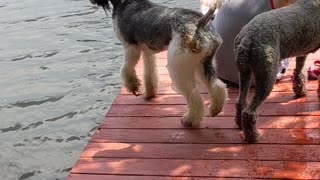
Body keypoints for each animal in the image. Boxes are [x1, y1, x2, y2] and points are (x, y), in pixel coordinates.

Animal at [90, 0, 228, 126]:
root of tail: (200, 23)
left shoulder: (130, 47)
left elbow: (127, 70)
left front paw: (133, 86)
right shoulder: (147, 52)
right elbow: (149, 73)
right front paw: (149, 93)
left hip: (179, 67)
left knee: (194, 96)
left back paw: (190, 119)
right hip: (203, 64)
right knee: (217, 86)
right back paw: (215, 109)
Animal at [234, 0, 318, 143]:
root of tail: (247, 39)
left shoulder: (302, 51)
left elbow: (299, 73)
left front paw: (300, 91)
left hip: (244, 71)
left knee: (241, 101)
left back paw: (240, 124)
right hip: (267, 74)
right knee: (249, 112)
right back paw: (253, 136)